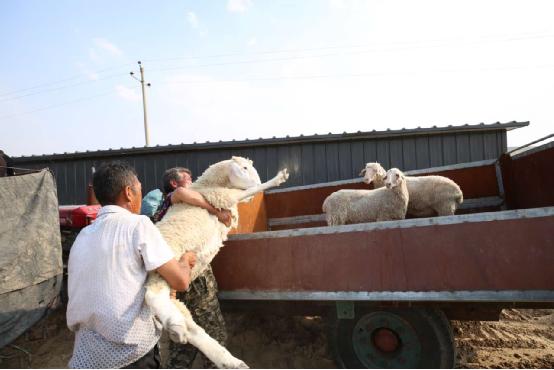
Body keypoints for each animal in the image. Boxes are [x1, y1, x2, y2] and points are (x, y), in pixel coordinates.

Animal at [144, 157, 286, 370]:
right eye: (244, 168)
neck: (208, 184)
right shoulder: (222, 197)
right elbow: (245, 193)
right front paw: (278, 178)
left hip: (169, 281)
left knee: (189, 326)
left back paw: (228, 360)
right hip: (162, 265)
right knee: (152, 296)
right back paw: (178, 326)